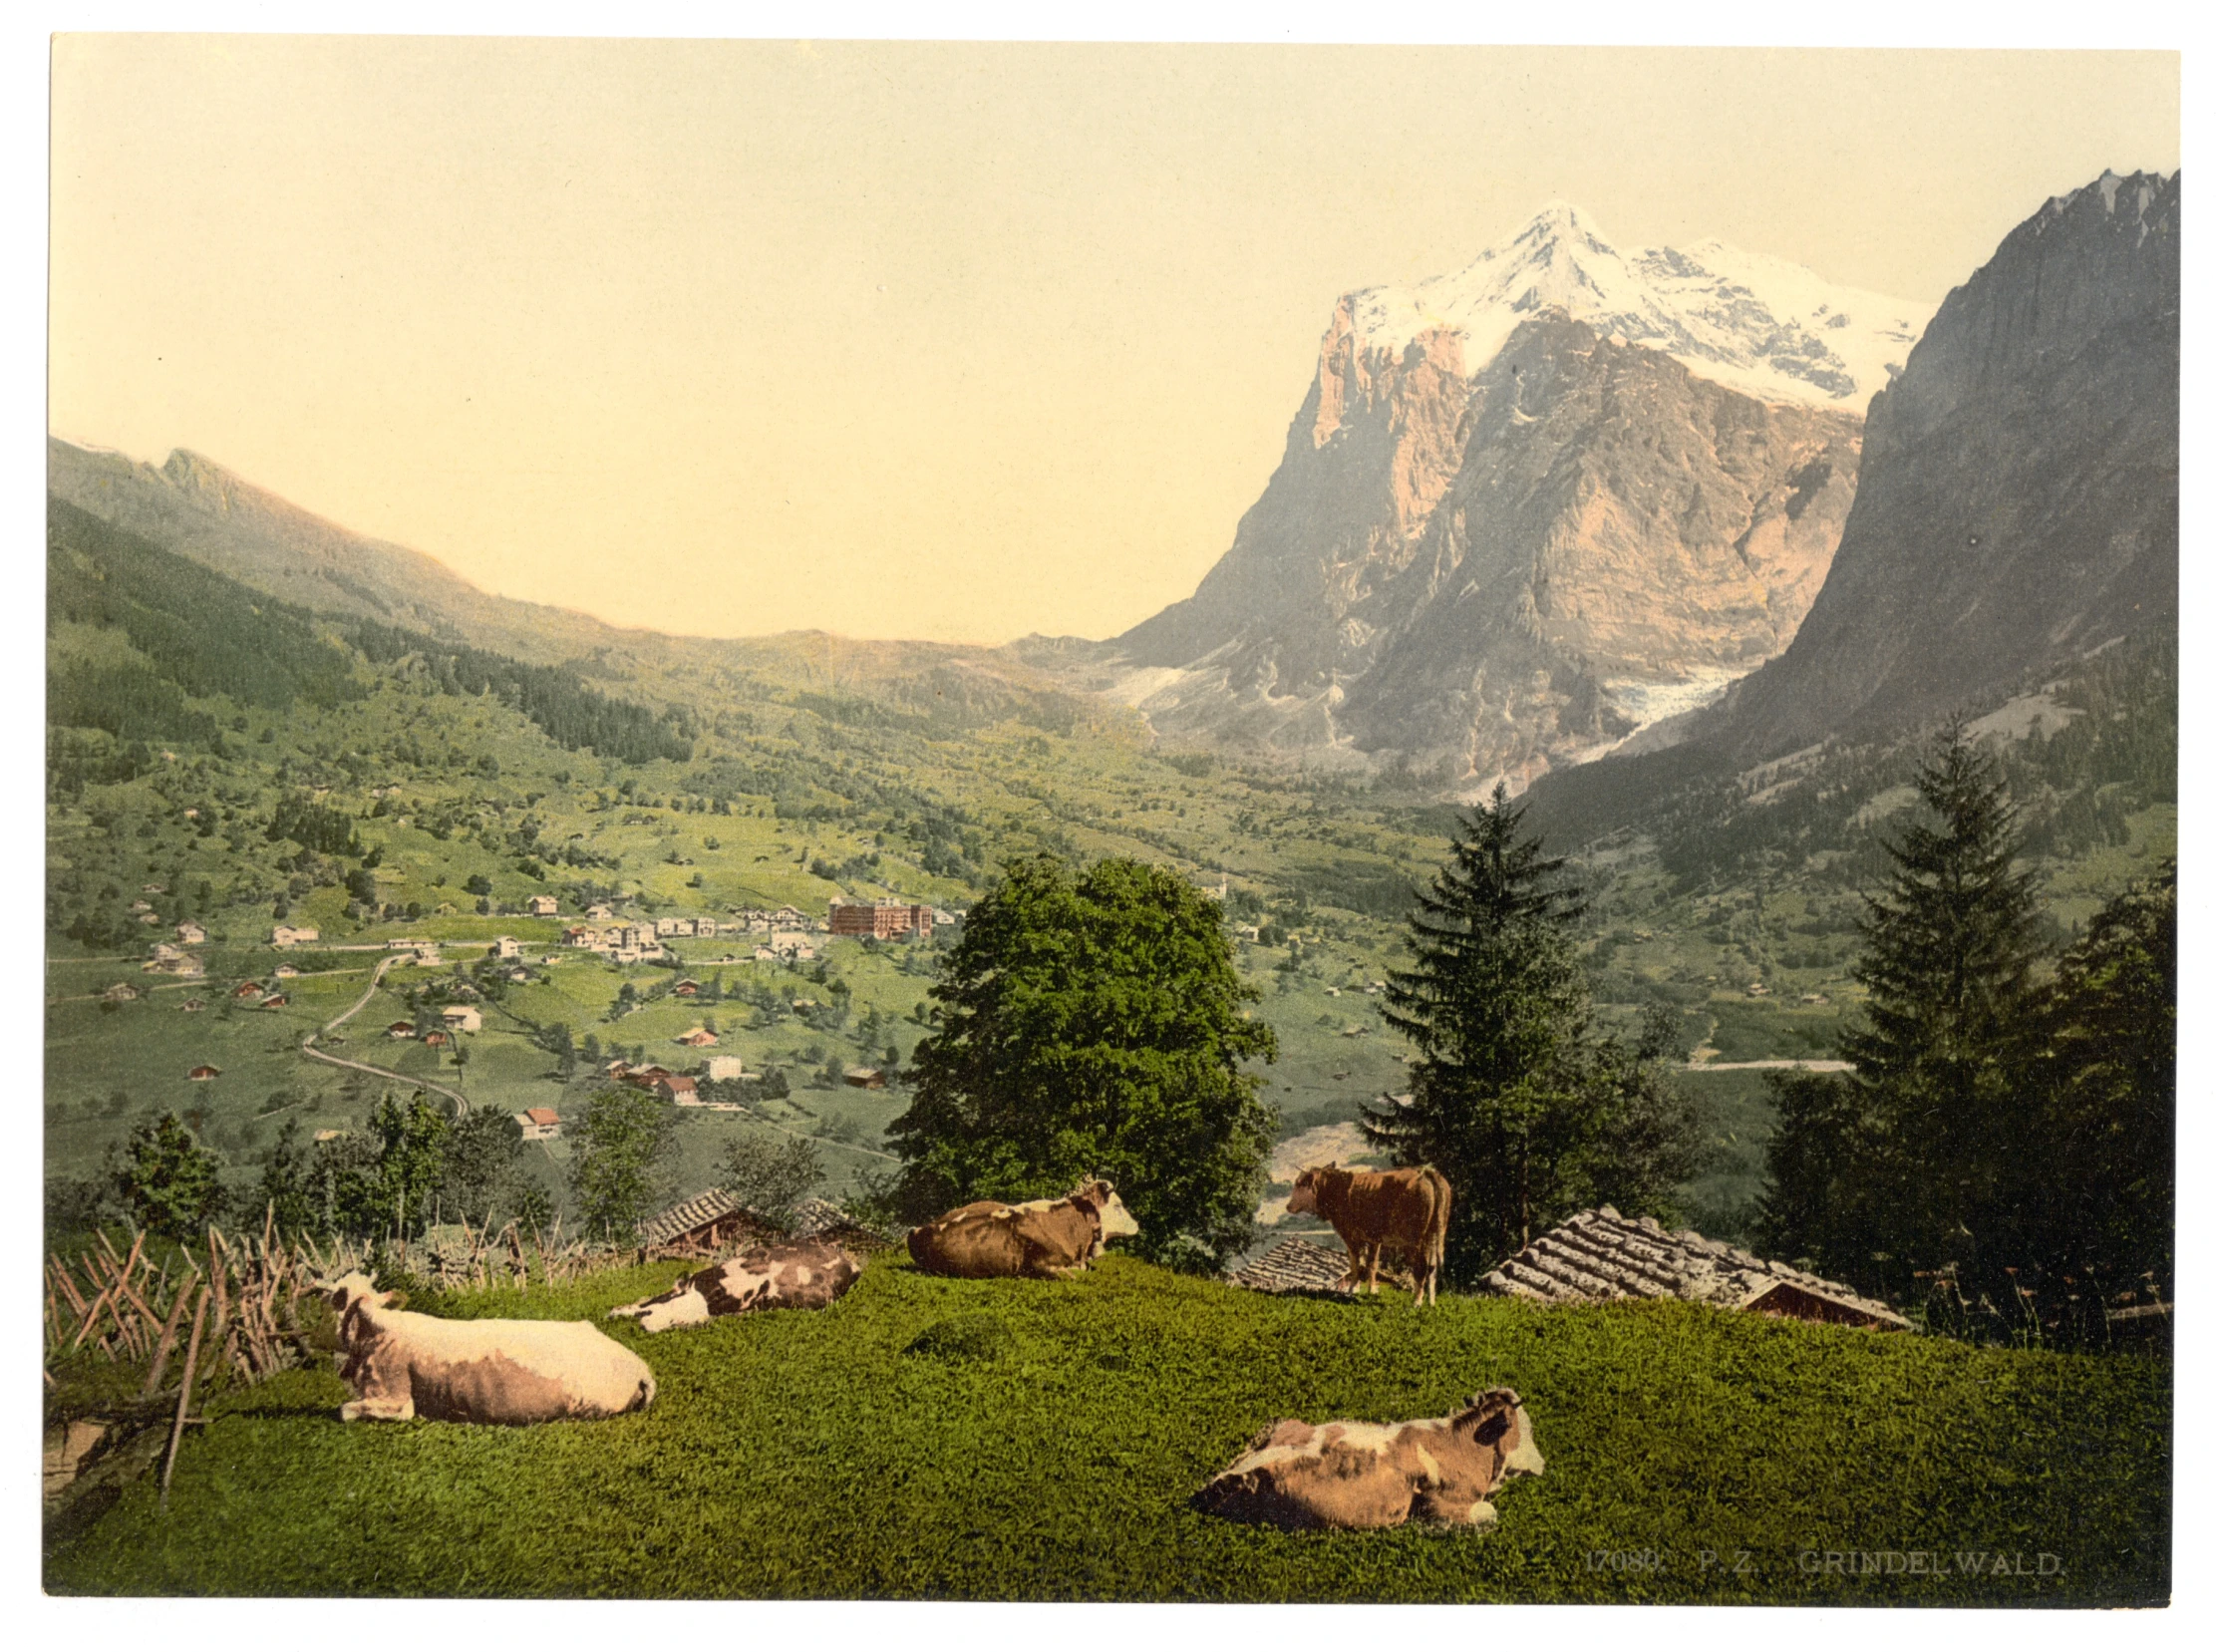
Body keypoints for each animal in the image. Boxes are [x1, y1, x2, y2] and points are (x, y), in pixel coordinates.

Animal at [1285, 1161, 1453, 1303]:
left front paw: (1353, 1289)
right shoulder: (1374, 1238)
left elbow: (1355, 1263)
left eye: (1300, 1184)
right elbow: (1372, 1264)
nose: (1288, 1206)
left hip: (1416, 1240)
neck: (1339, 1187)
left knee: (1422, 1267)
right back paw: (1431, 1303)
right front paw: (1372, 1291)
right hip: (1434, 1234)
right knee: (1432, 1267)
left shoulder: (1350, 1234)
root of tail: (1426, 1172)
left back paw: (1416, 1302)